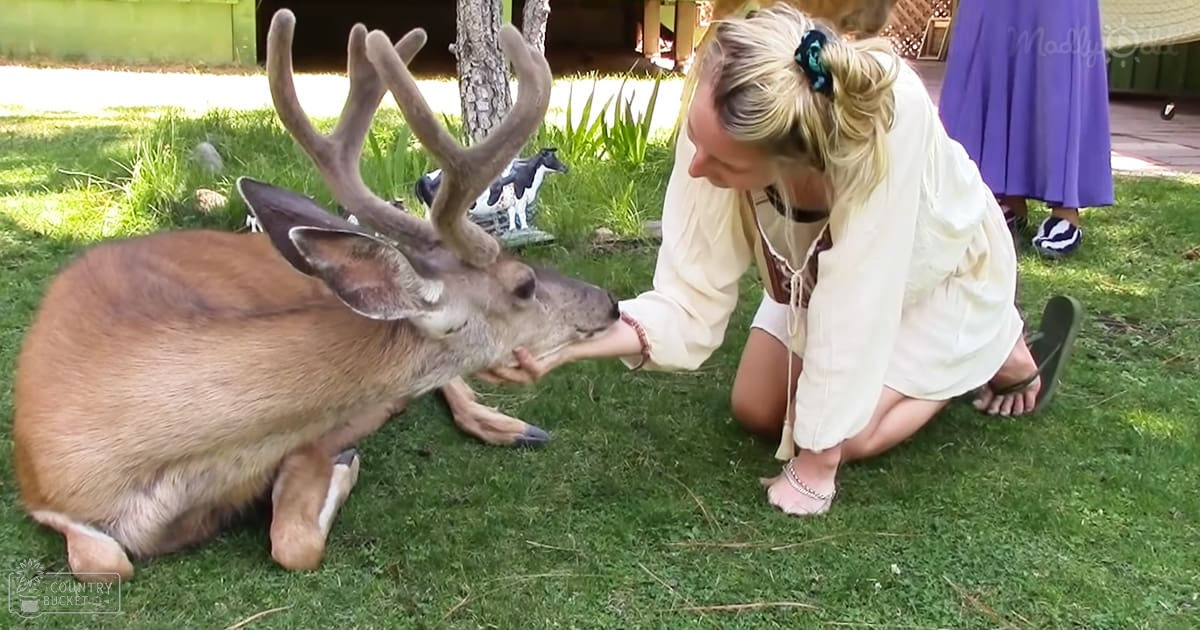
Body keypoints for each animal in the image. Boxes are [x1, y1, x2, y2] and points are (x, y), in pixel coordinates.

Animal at [11, 8, 620, 584]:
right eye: (523, 285)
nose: (609, 301)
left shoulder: (305, 439)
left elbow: (294, 539)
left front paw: (344, 468)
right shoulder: (40, 493)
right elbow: (106, 561)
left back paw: (513, 429)